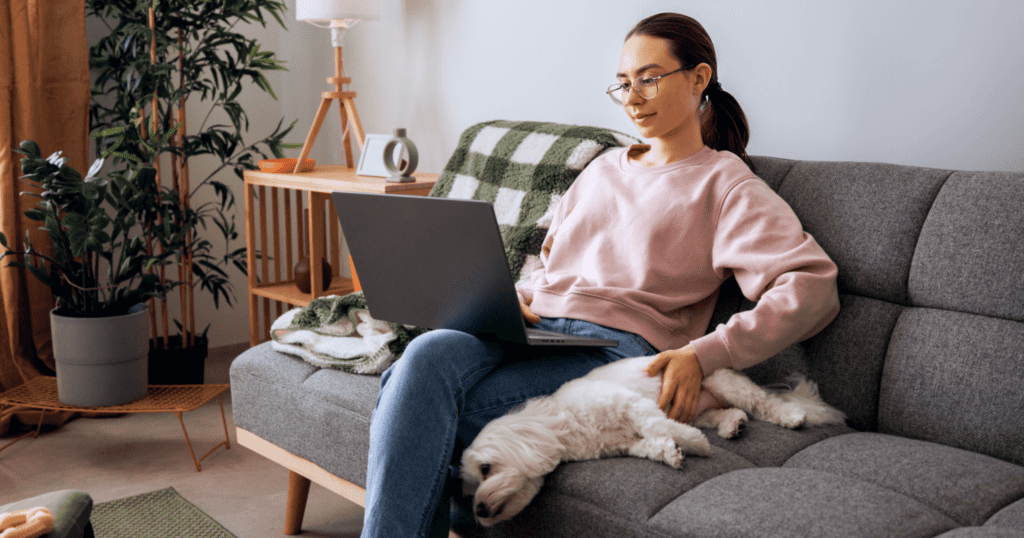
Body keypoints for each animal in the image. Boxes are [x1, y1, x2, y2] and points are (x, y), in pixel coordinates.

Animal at [460, 354, 843, 524]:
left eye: (486, 468)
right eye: (469, 489)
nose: (478, 510)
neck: (564, 421)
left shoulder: (632, 405)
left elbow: (658, 425)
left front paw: (692, 444)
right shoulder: (624, 443)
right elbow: (649, 444)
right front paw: (671, 453)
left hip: (723, 382)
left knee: (763, 403)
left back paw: (790, 416)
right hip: (699, 408)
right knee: (732, 413)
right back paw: (731, 425)